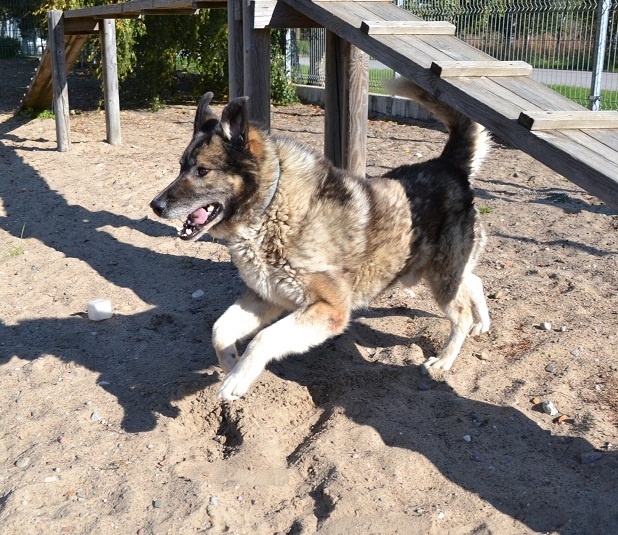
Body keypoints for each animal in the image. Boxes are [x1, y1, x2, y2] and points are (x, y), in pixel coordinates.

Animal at [150, 78, 491, 401]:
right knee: (473, 280)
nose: (155, 205)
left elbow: (264, 338)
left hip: (440, 277)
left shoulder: (329, 310)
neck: (272, 209)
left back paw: (444, 360)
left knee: (460, 313)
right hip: (439, 272)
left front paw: (237, 379)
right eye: (181, 167)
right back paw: (482, 323)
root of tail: (448, 164)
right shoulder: (265, 297)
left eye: (202, 171)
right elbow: (220, 329)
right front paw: (231, 365)